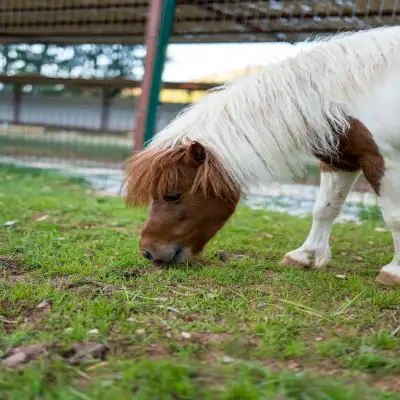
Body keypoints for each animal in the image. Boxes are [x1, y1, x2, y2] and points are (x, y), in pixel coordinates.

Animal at [123, 26, 400, 284]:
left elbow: (394, 217)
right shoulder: (340, 160)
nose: (147, 252)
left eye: (172, 195)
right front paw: (305, 256)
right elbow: (324, 209)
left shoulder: (385, 161)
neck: (354, 94)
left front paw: (393, 272)